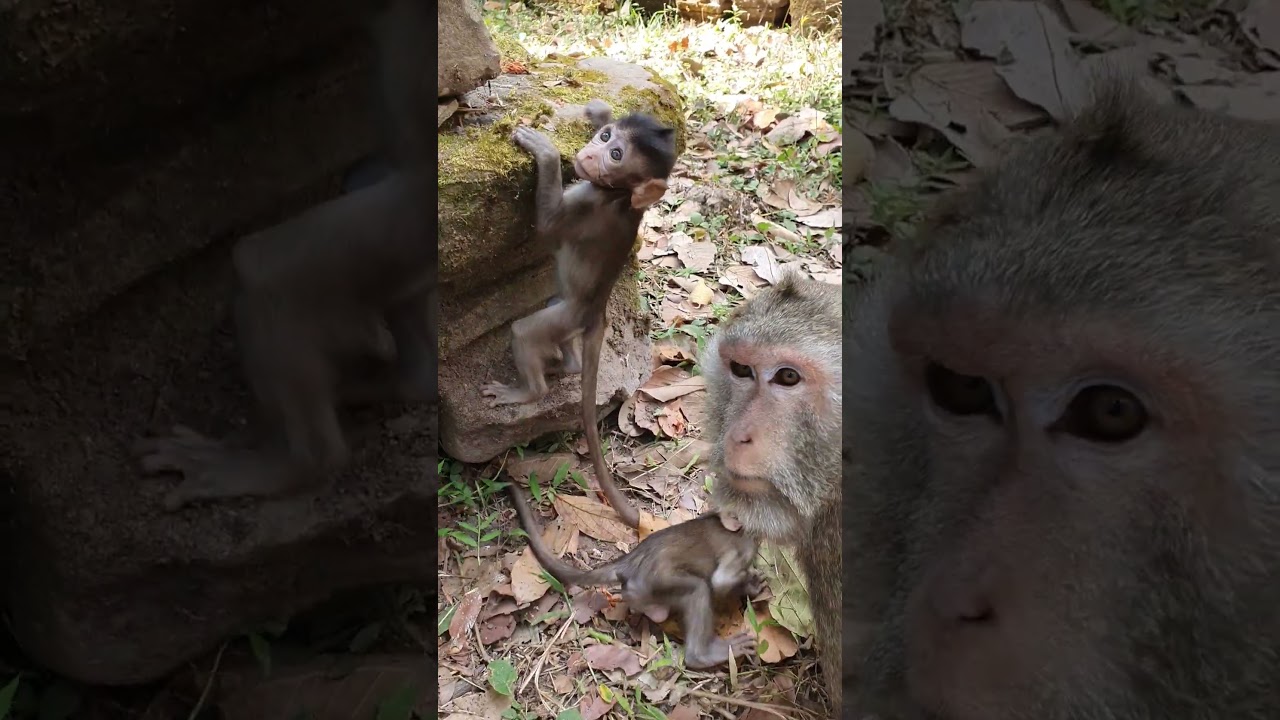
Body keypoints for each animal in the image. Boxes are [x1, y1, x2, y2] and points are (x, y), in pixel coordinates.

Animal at [481, 100, 678, 529]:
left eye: (615, 155)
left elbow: (547, 228)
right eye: (605, 138)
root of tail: (597, 316)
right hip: (564, 315)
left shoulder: (588, 204)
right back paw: (564, 365)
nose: (588, 154)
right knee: (557, 325)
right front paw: (597, 111)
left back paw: (529, 390)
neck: (616, 195)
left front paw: (547, 153)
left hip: (564, 316)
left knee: (524, 332)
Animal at [509, 481, 762, 669]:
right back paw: (703, 655)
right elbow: (721, 582)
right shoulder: (741, 548)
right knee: (698, 589)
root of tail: (630, 563)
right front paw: (747, 584)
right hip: (655, 584)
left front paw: (752, 584)